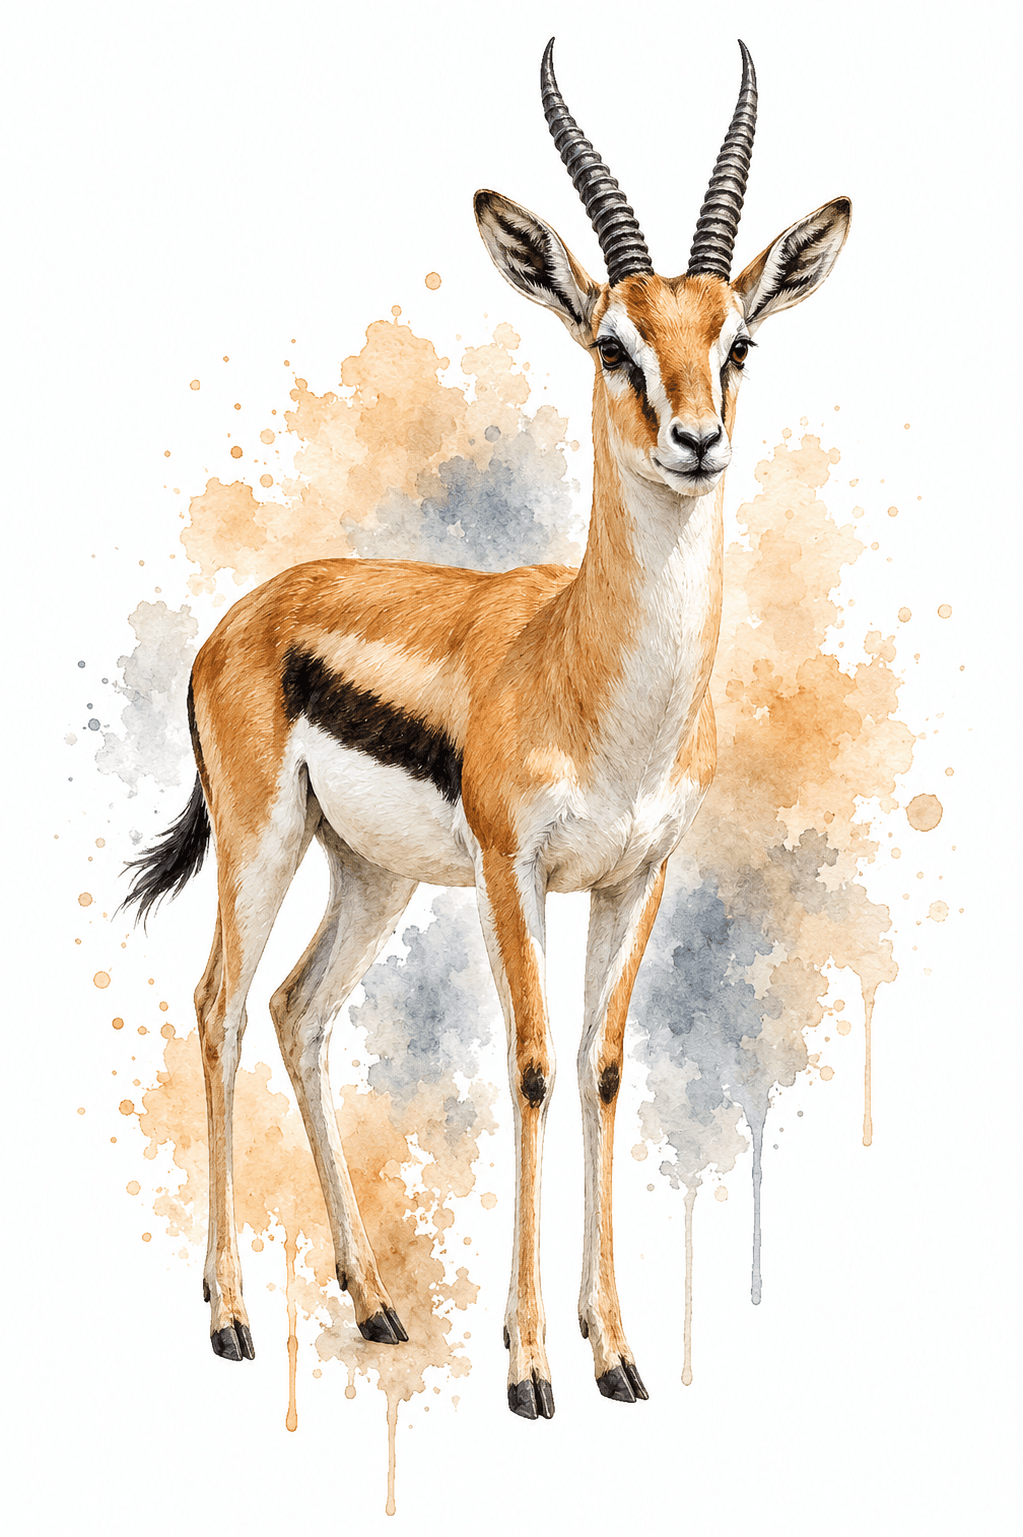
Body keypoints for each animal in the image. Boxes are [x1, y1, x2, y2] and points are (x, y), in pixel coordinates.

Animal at [126, 38, 849, 1419]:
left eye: (734, 342)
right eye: (614, 343)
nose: (697, 441)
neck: (584, 669)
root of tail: (239, 618)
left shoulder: (635, 875)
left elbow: (602, 1064)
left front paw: (612, 1347)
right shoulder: (514, 871)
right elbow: (526, 1060)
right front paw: (526, 1367)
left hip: (371, 878)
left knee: (301, 1012)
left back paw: (374, 1301)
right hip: (264, 847)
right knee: (219, 1005)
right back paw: (231, 1315)